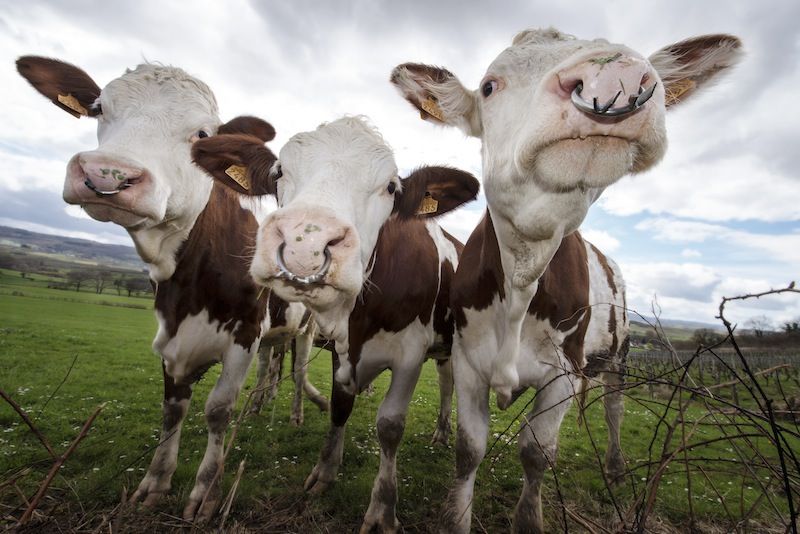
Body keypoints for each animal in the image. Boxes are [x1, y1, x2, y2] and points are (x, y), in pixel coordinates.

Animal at [16, 57, 325, 521]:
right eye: (99, 108)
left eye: (202, 135)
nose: (107, 173)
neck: (188, 284)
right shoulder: (173, 335)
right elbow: (172, 408)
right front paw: (155, 483)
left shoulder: (245, 332)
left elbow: (217, 410)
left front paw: (206, 492)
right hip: (276, 329)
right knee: (271, 364)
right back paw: (259, 406)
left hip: (305, 328)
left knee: (299, 368)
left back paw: (295, 416)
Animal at [191, 116, 479, 532]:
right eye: (279, 171)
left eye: (391, 187)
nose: (304, 245)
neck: (358, 316)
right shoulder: (338, 347)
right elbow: (340, 408)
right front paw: (325, 473)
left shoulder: (410, 353)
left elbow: (390, 427)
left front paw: (382, 508)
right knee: (444, 381)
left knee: (447, 384)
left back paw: (442, 432)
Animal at [391, 28, 742, 532]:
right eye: (489, 86)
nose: (613, 76)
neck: (523, 274)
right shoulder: (468, 359)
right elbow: (469, 451)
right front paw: (457, 516)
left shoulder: (565, 372)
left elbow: (537, 453)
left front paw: (529, 516)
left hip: (620, 353)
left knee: (614, 407)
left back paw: (615, 467)